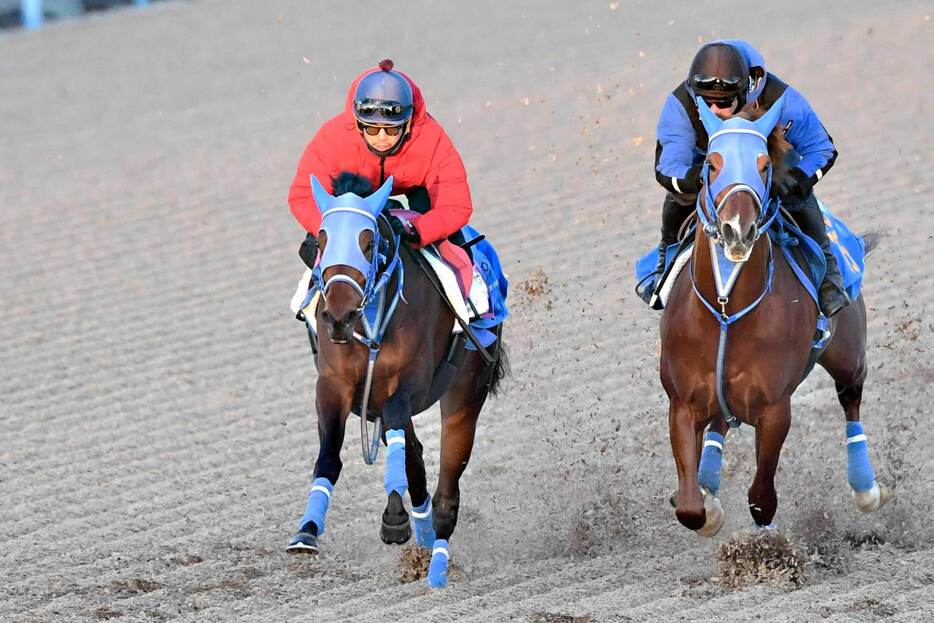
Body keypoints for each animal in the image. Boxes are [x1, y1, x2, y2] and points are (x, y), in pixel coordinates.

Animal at [288, 173, 508, 588]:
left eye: (368, 241)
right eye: (321, 240)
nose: (338, 317)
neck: (372, 319)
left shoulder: (407, 386)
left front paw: (395, 518)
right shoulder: (334, 385)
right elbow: (330, 456)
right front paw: (306, 531)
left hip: (464, 396)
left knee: (446, 494)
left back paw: (436, 568)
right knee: (415, 459)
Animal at [660, 96, 888, 536]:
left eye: (765, 165)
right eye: (711, 164)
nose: (737, 230)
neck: (726, 312)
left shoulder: (775, 409)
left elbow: (762, 499)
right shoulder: (682, 402)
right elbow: (690, 508)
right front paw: (707, 505)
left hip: (848, 354)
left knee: (851, 398)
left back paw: (866, 489)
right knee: (719, 425)